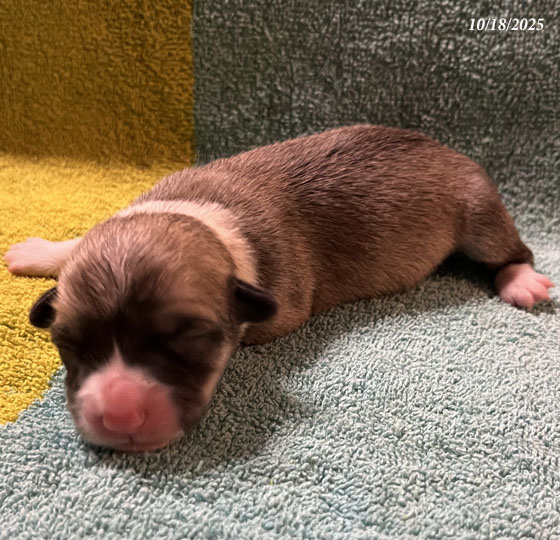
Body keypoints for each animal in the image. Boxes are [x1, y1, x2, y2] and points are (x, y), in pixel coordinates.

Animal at [4, 125, 554, 452]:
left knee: (511, 248)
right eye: (67, 343)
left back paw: (522, 281)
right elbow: (78, 243)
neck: (195, 213)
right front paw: (38, 251)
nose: (118, 416)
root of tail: (447, 147)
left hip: (478, 212)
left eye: (192, 339)